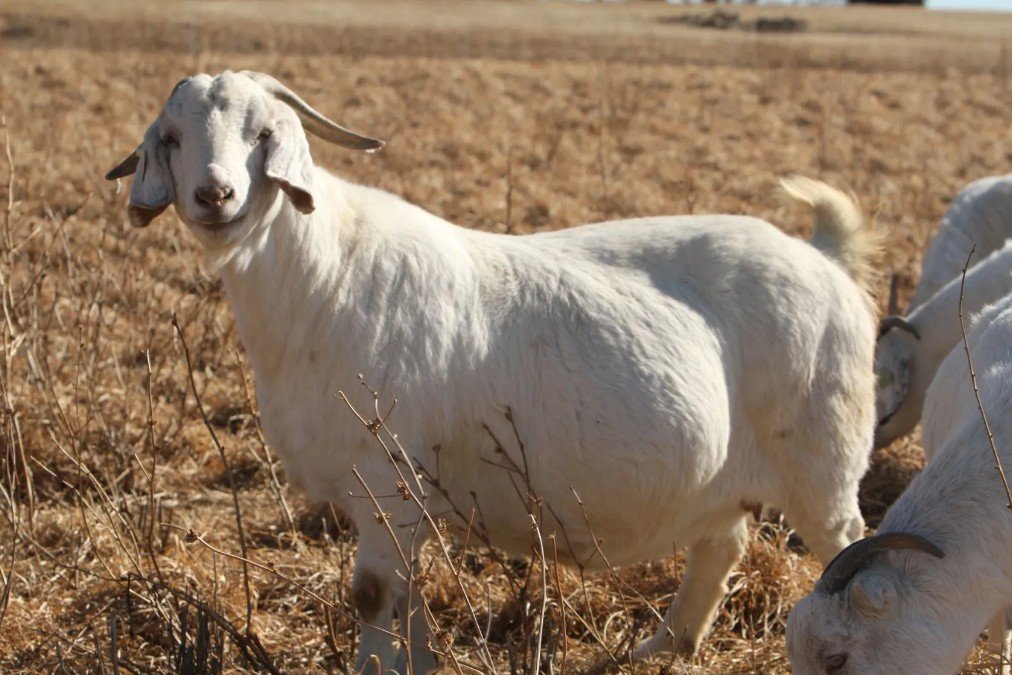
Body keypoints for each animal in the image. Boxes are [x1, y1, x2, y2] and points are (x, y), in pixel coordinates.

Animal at [107, 71, 880, 673]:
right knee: (721, 543)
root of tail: (825, 258)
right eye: (171, 139)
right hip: (723, 477)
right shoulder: (399, 499)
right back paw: (666, 646)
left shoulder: (385, 477)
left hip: (823, 457)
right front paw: (422, 662)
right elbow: (404, 594)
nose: (214, 196)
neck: (324, 270)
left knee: (850, 549)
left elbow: (372, 594)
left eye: (263, 133)